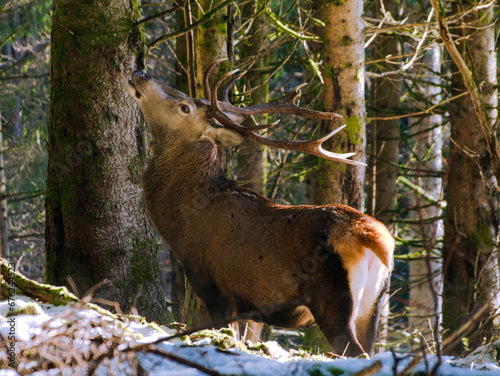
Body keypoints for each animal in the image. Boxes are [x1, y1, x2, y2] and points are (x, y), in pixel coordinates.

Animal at [128, 60, 394, 356]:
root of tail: (374, 236)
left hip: (333, 296)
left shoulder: (215, 289)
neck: (182, 222)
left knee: (353, 350)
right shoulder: (250, 307)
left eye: (184, 107)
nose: (140, 73)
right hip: (372, 303)